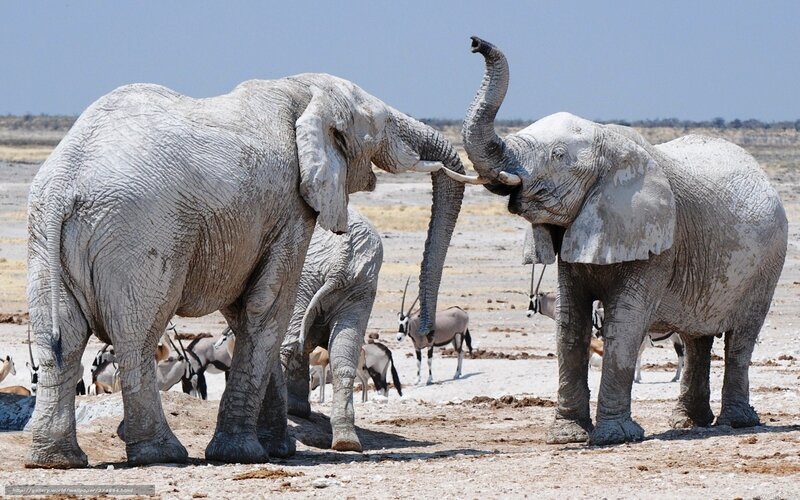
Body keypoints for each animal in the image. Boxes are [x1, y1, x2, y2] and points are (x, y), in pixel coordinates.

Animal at [281, 206, 382, 452]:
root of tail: (341, 261)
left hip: (305, 273)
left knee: (286, 344)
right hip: (360, 287)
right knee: (343, 356)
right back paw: (346, 441)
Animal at [460, 37, 788, 446]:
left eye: (558, 156)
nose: (475, 43)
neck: (609, 143)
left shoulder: (657, 242)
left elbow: (626, 323)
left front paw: (614, 436)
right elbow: (569, 324)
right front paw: (567, 437)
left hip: (768, 262)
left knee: (741, 337)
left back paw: (737, 422)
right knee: (697, 338)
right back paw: (688, 423)